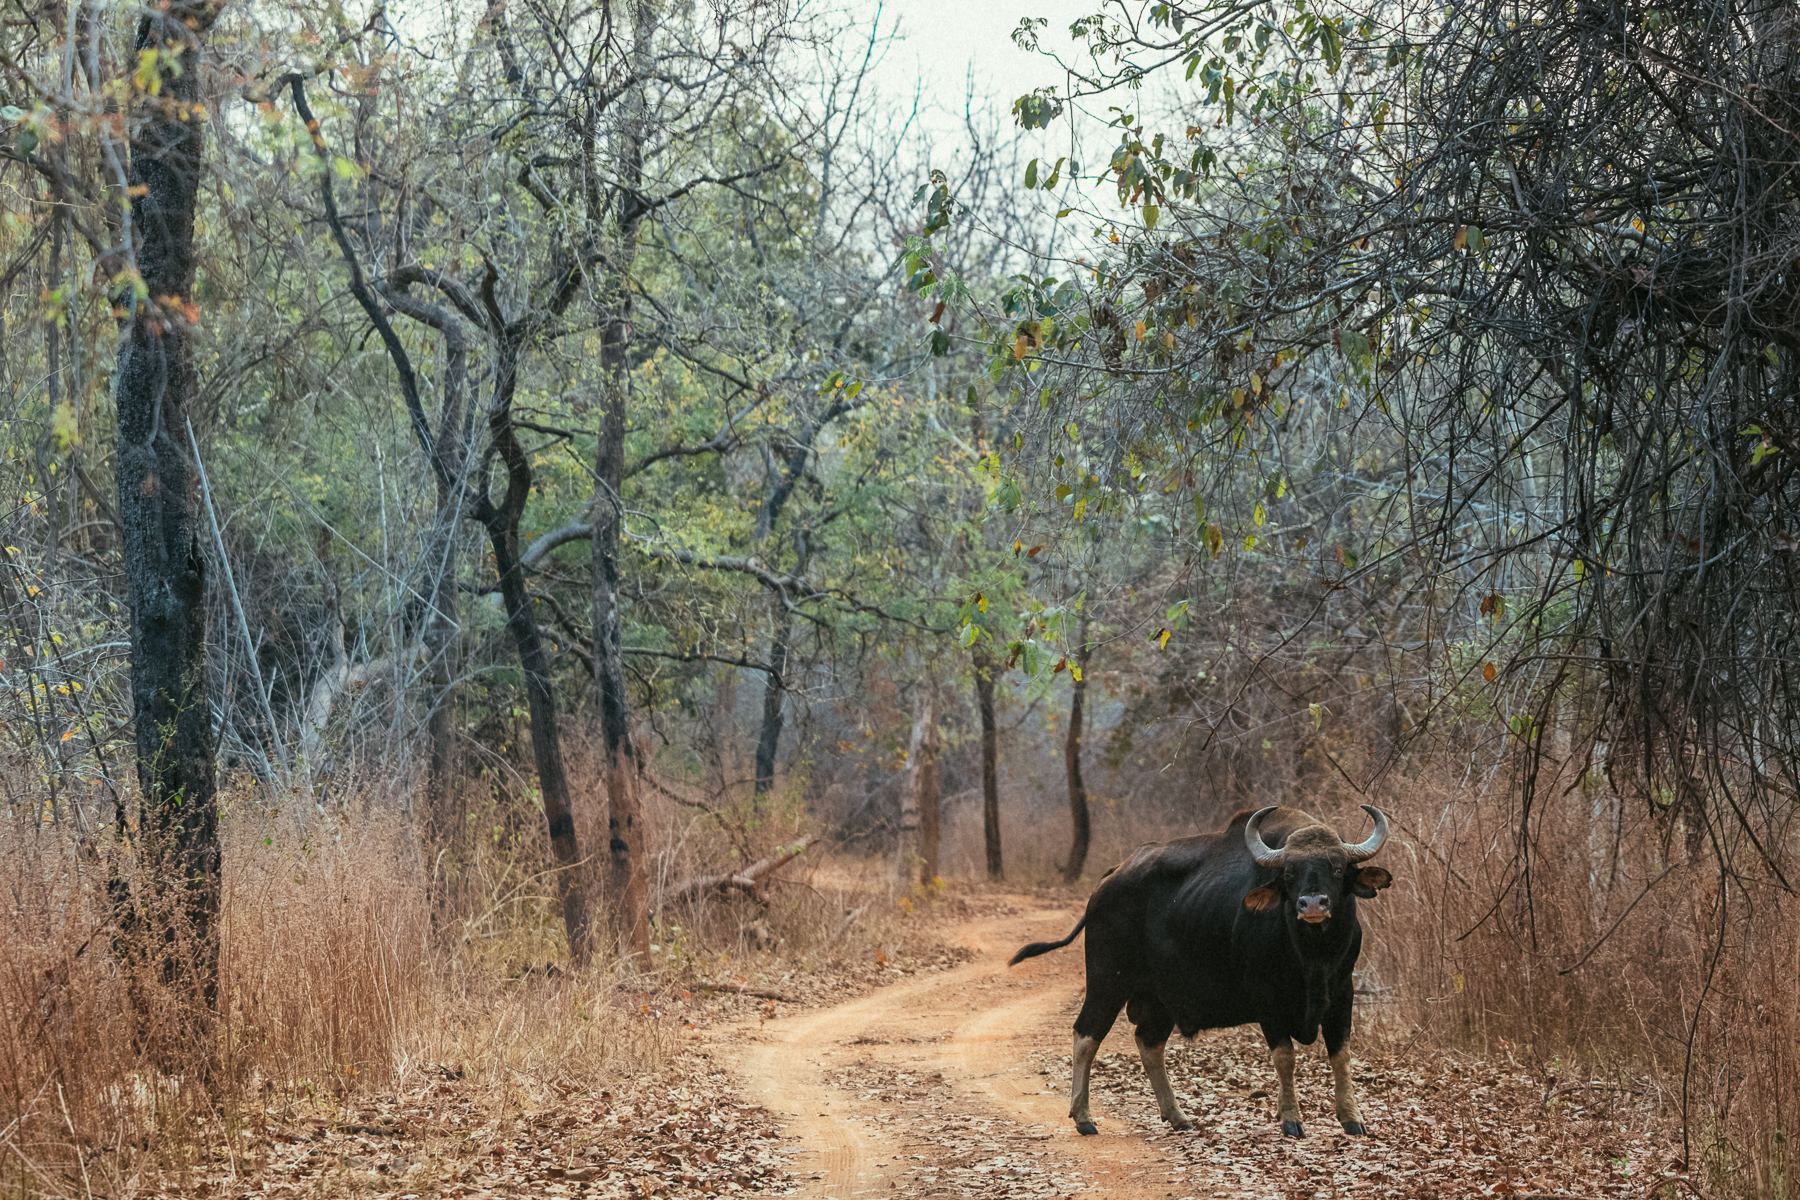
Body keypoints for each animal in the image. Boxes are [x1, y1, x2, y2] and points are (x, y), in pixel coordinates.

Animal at [1009, 804, 1394, 1138]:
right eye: (1288, 873)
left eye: (1337, 868)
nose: (1312, 904)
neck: (1312, 955)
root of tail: (1110, 878)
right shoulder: (1267, 999)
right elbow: (1285, 1057)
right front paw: (1290, 1119)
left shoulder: (1342, 992)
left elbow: (1341, 1054)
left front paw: (1352, 1119)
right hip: (1107, 980)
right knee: (1086, 1035)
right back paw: (1084, 1117)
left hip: (1160, 998)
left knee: (1148, 1042)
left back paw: (1177, 1116)